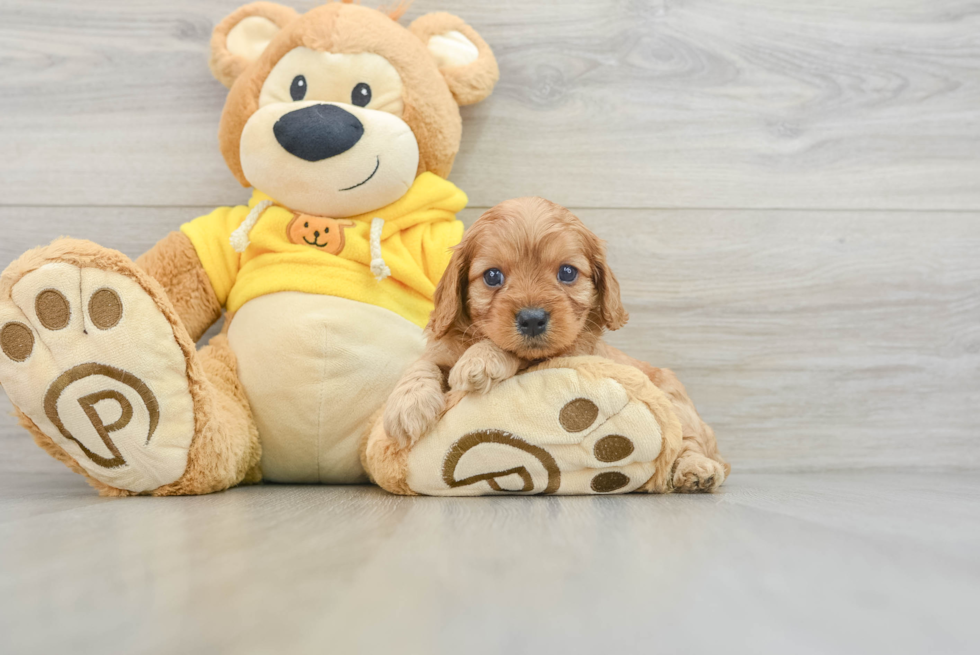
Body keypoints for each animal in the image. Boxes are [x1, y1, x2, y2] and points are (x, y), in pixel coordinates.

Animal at [382, 196, 728, 492]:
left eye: (567, 272)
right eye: (492, 276)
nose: (532, 319)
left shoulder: (566, 353)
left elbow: (513, 353)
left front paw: (481, 359)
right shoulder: (442, 350)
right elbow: (422, 365)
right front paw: (405, 407)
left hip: (675, 402)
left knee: (688, 444)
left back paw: (697, 471)